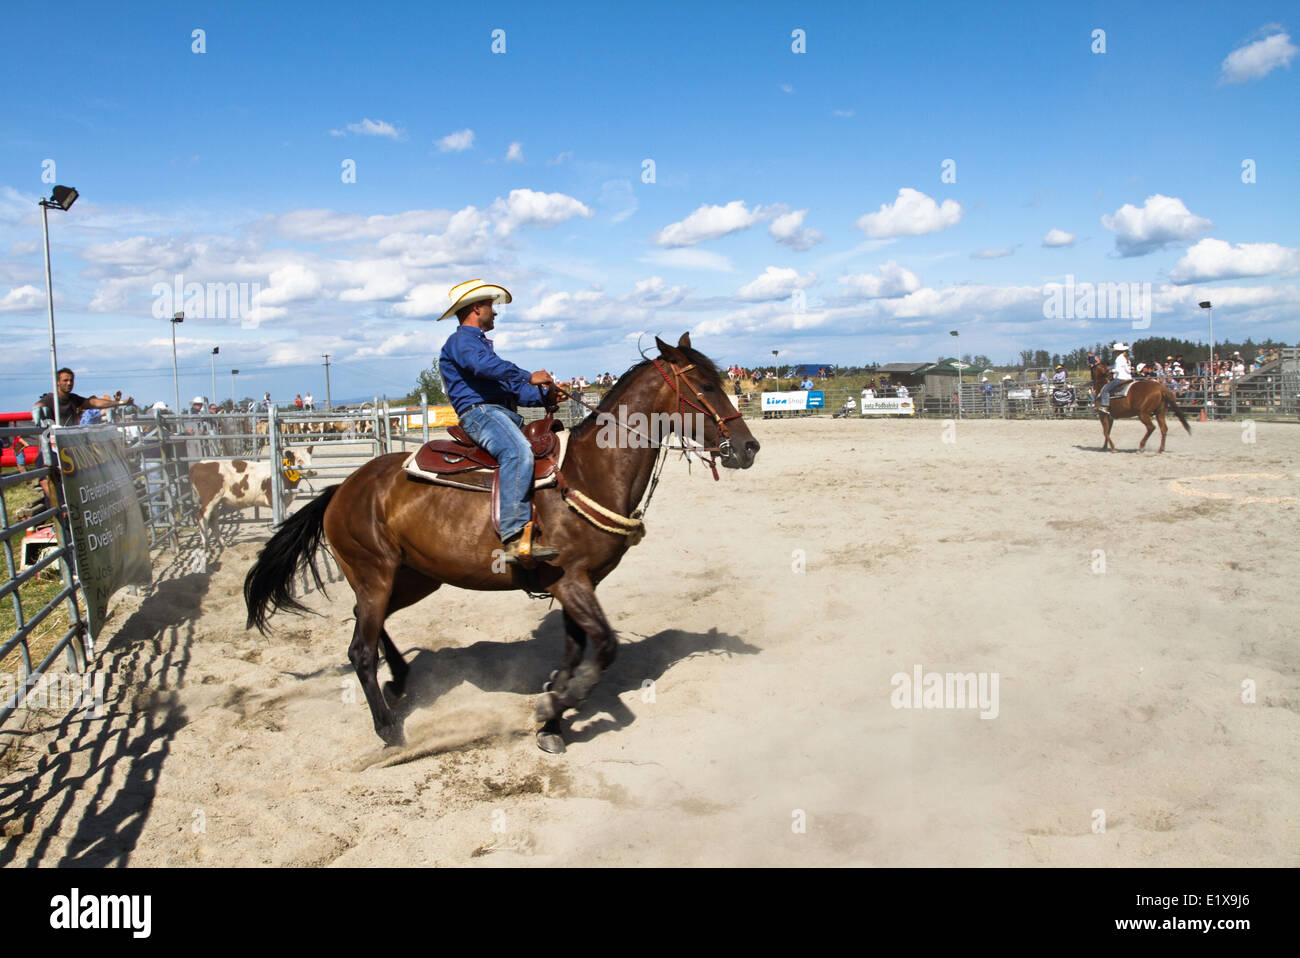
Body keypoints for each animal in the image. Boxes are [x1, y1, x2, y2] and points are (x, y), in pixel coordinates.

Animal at [187, 447, 315, 545]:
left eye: (310, 458)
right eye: (299, 460)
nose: (313, 471)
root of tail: (197, 465)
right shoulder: (275, 500)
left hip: (216, 502)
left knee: (213, 521)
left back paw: (223, 546)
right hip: (210, 499)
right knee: (201, 517)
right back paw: (205, 546)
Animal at [241, 332, 759, 748]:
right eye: (705, 386)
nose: (748, 447)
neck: (587, 472)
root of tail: (341, 489)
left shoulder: (573, 584)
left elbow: (573, 653)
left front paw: (552, 719)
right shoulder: (572, 582)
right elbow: (605, 647)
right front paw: (551, 707)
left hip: (411, 577)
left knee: (364, 622)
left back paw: (400, 680)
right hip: (376, 573)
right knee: (359, 650)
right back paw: (388, 729)